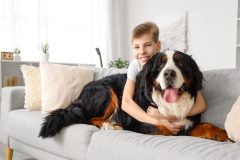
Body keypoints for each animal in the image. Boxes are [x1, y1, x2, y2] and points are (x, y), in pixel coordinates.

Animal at [39, 50, 229, 141]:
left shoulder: (189, 120)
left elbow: (205, 125)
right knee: (89, 118)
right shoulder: (140, 123)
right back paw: (110, 125)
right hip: (105, 91)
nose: (169, 74)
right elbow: (161, 127)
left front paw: (222, 133)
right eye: (160, 66)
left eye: (180, 64)